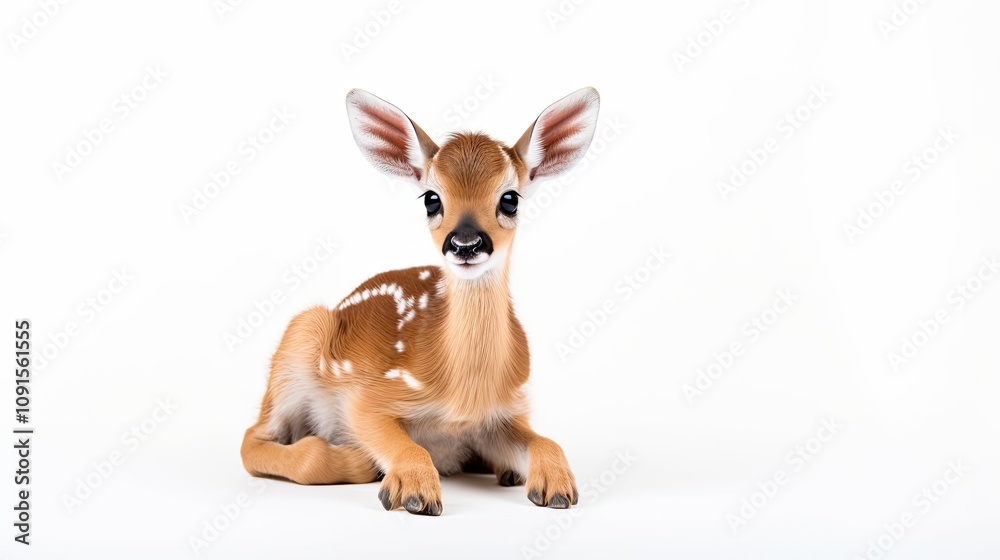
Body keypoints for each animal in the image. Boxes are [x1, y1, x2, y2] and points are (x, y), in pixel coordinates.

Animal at [240, 87, 600, 515]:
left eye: (510, 199)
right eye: (431, 199)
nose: (466, 243)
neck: (461, 394)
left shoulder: (504, 411)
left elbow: (546, 440)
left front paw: (556, 486)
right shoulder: (369, 395)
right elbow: (400, 442)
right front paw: (413, 491)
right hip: (298, 339)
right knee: (254, 441)